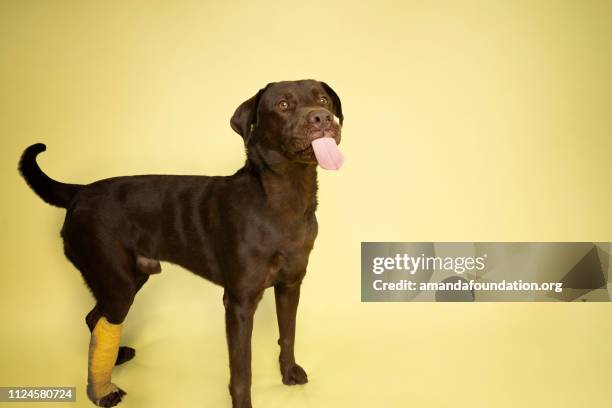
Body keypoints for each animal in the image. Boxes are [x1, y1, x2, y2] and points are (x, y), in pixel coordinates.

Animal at [17, 78, 344, 406]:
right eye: (283, 105)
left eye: (323, 100)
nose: (322, 118)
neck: (286, 196)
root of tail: (80, 191)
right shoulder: (239, 302)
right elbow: (242, 369)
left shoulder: (290, 285)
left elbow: (287, 333)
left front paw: (289, 373)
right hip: (115, 278)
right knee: (102, 317)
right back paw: (103, 390)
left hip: (129, 276)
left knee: (95, 316)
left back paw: (116, 358)